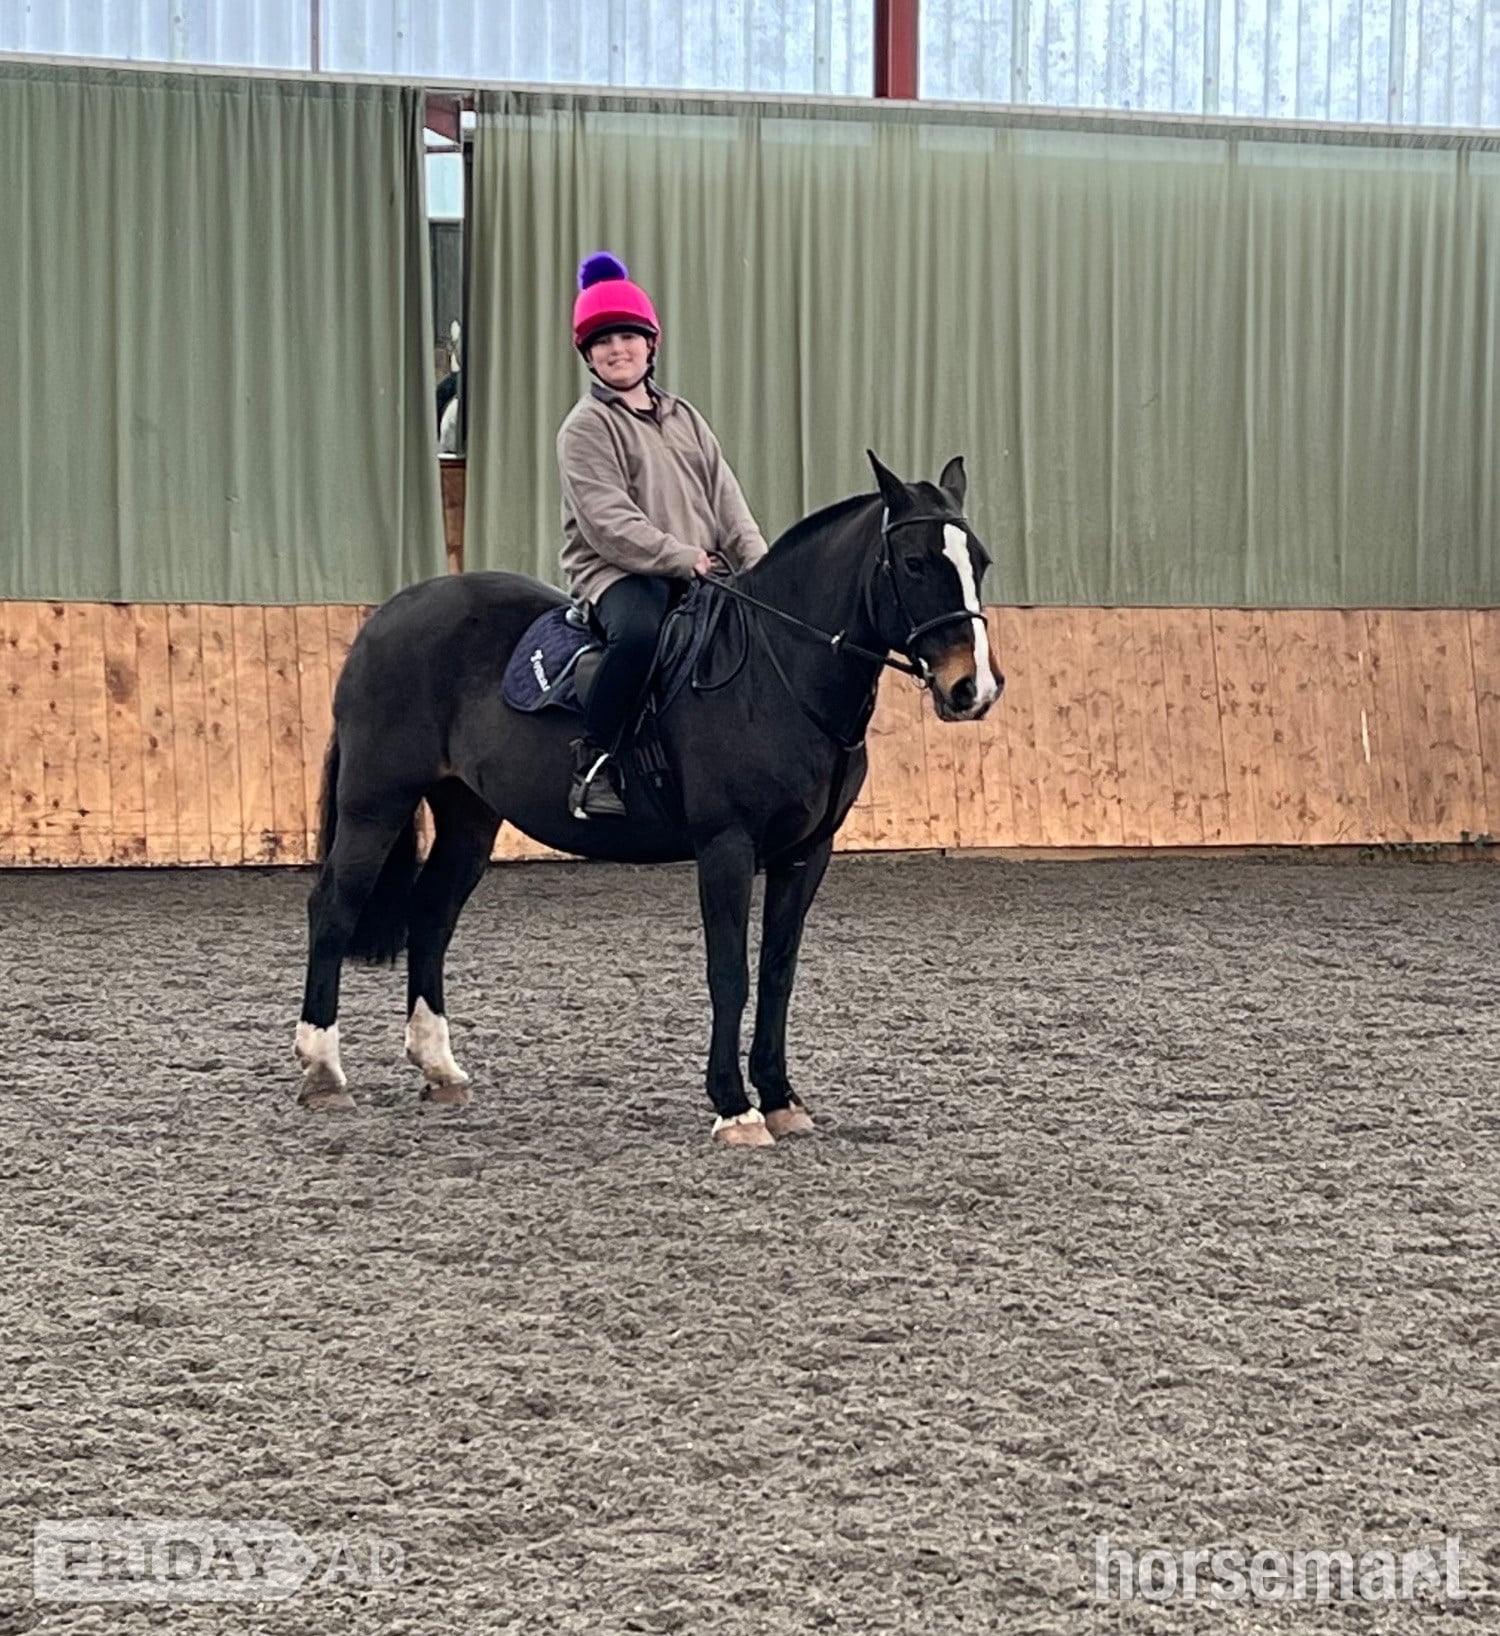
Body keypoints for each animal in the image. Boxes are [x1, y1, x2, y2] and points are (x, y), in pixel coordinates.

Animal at [295, 452, 1004, 1145]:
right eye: (914, 563)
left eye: (982, 562)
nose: (973, 688)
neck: (777, 673)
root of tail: (389, 614)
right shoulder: (726, 847)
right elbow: (729, 972)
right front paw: (735, 1108)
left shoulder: (807, 854)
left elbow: (777, 972)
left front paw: (779, 1098)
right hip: (376, 803)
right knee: (333, 909)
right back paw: (324, 1073)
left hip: (468, 815)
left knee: (432, 915)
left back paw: (439, 1069)